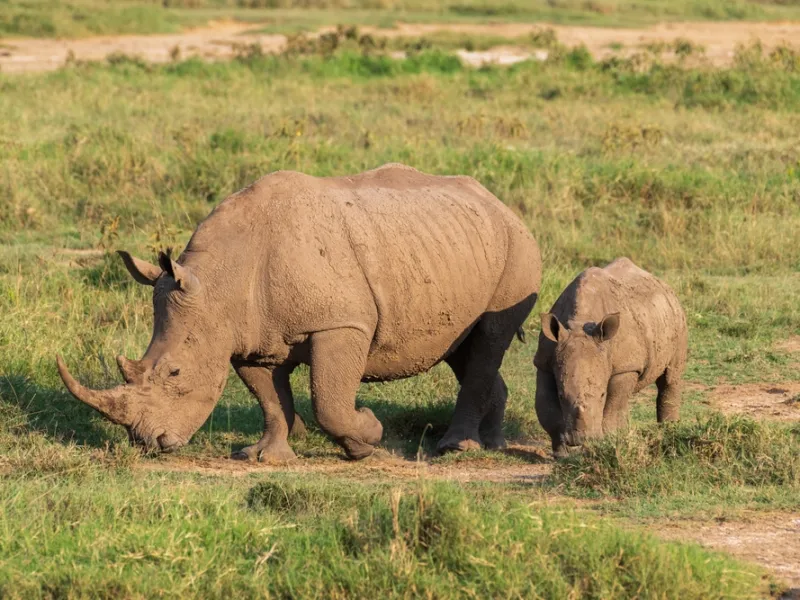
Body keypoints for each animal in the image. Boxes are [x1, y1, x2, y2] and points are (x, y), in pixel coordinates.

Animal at [57, 163, 541, 460]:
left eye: (175, 373)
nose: (148, 442)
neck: (219, 281)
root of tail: (502, 204)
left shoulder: (340, 324)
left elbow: (329, 399)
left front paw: (367, 438)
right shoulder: (248, 338)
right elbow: (271, 400)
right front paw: (263, 457)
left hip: (516, 249)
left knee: (489, 337)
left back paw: (455, 449)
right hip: (455, 246)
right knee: (464, 348)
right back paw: (492, 444)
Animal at [533, 257, 687, 456]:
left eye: (602, 395)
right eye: (561, 396)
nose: (581, 439)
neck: (579, 323)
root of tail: (664, 285)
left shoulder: (625, 368)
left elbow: (612, 411)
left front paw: (603, 448)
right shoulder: (544, 362)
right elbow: (547, 410)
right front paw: (561, 455)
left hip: (677, 319)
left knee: (670, 378)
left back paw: (669, 432)